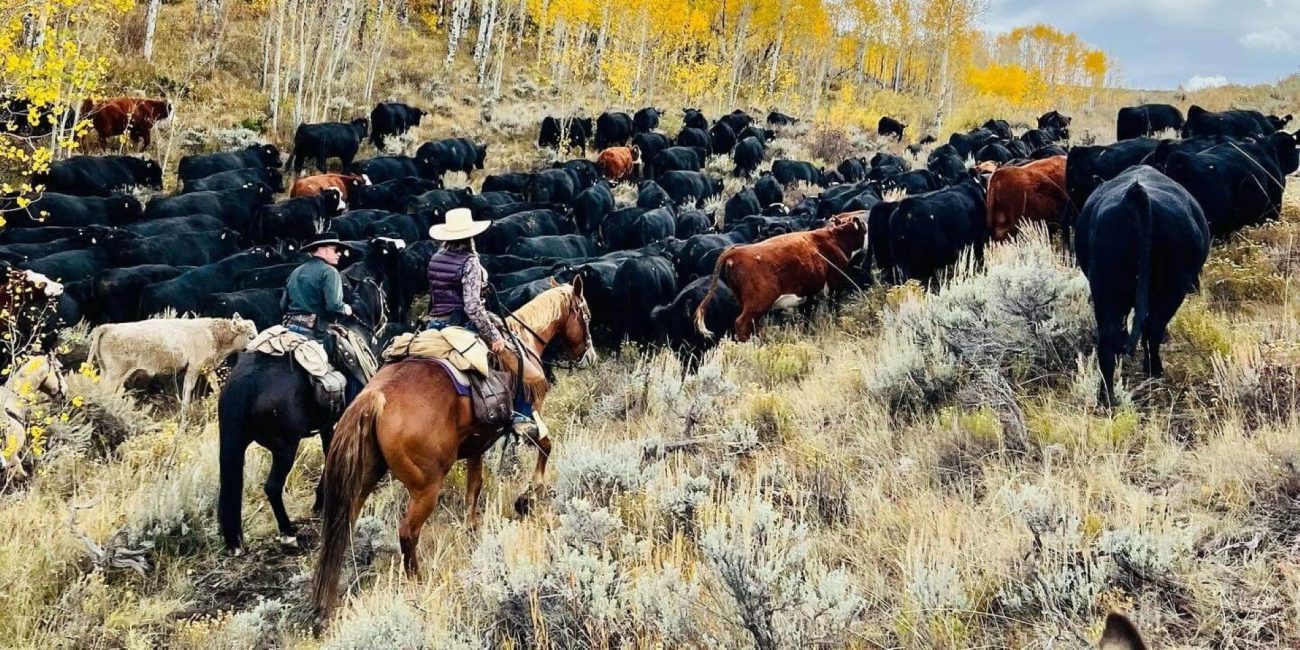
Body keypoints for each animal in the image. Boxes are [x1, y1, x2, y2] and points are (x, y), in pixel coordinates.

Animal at [88, 317, 257, 409]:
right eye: (251, 336)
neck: (213, 333)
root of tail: (108, 327)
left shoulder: (208, 368)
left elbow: (215, 386)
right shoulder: (194, 368)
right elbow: (188, 391)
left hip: (107, 373)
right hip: (114, 375)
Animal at [695, 215, 866, 341]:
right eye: (863, 228)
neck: (833, 238)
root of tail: (736, 251)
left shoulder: (809, 295)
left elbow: (807, 317)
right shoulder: (835, 286)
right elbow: (833, 309)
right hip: (757, 303)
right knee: (741, 324)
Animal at [1076, 165, 1209, 405]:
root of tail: (1135, 194)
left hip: (1106, 292)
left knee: (1109, 340)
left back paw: (1106, 399)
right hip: (1172, 289)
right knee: (1153, 329)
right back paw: (1153, 370)